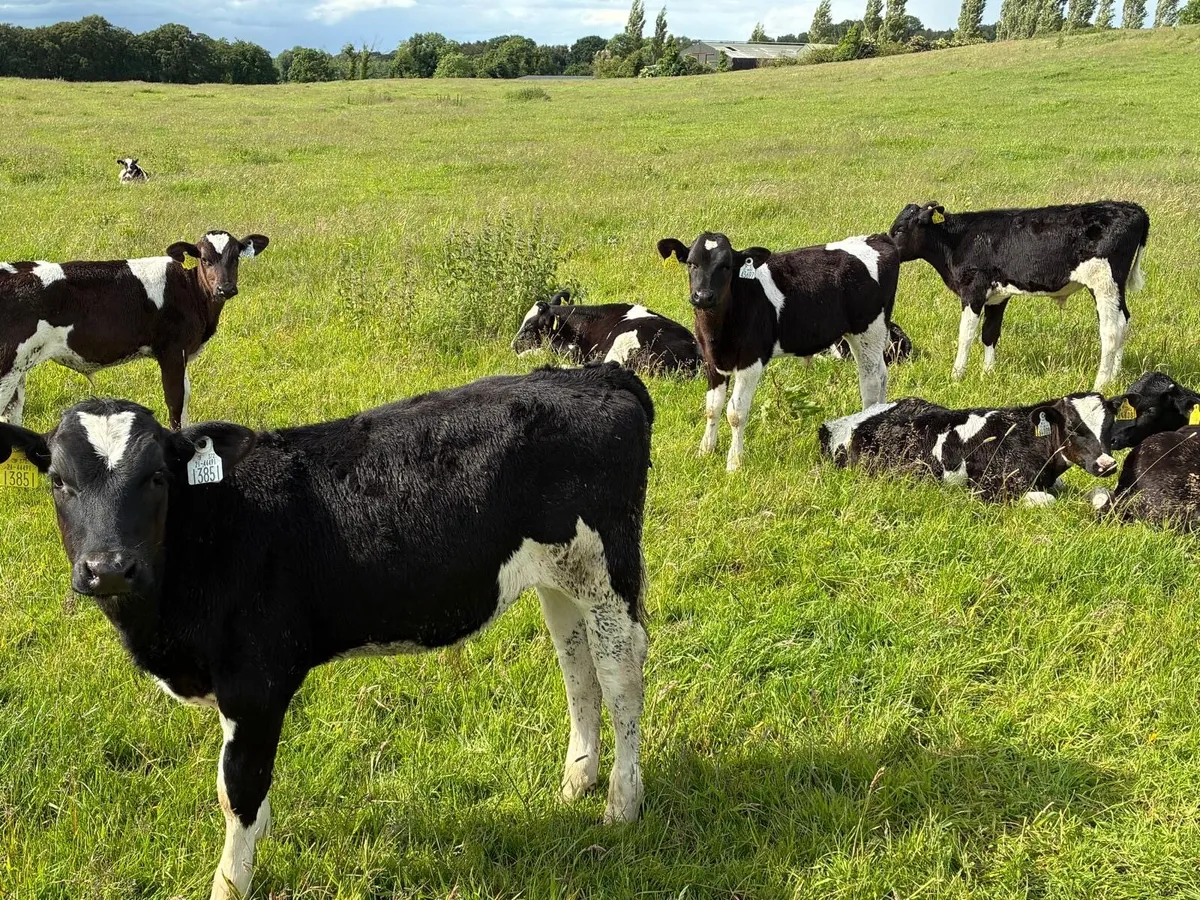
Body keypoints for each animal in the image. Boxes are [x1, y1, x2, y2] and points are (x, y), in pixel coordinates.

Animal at [0, 230, 269, 429]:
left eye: (235, 257)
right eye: (205, 259)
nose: (226, 288)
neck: (191, 292)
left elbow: (185, 401)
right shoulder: (172, 352)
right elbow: (175, 403)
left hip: (19, 368)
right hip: (7, 366)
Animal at [0, 363, 653, 900]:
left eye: (158, 477)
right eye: (58, 480)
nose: (108, 568)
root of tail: (596, 376)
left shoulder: (254, 685)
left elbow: (238, 788)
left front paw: (230, 883)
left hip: (607, 570)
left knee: (620, 673)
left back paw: (621, 804)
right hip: (559, 576)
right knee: (577, 668)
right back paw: (577, 781)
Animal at [657, 231, 900, 471]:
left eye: (726, 266)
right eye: (691, 263)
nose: (703, 296)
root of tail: (878, 238)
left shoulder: (750, 361)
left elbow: (736, 413)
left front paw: (734, 463)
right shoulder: (712, 361)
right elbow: (712, 407)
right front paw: (705, 451)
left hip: (868, 330)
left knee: (870, 383)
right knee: (882, 374)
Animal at [819, 391, 1132, 505]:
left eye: (1109, 427)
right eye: (1073, 428)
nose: (1107, 464)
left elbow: (1098, 492)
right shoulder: (992, 489)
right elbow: (1049, 501)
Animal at [888, 200, 1149, 391]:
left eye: (899, 229)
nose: (885, 250)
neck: (959, 239)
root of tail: (1132, 208)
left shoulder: (973, 291)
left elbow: (966, 335)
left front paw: (956, 375)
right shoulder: (997, 297)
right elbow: (990, 334)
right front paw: (988, 373)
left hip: (1104, 283)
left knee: (1111, 331)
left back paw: (1101, 383)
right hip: (1116, 289)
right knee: (1123, 322)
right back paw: (1115, 376)